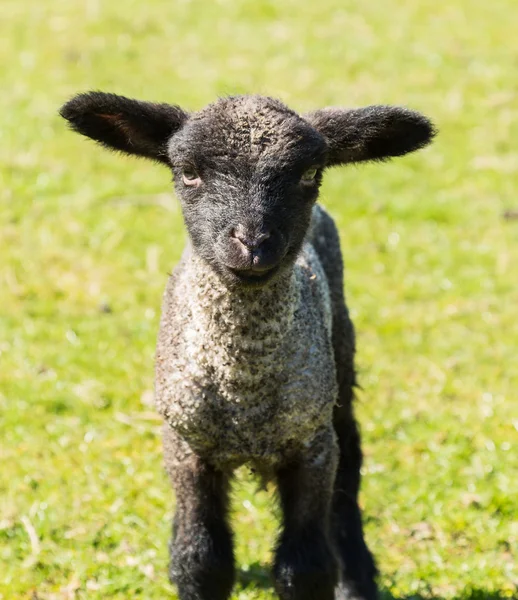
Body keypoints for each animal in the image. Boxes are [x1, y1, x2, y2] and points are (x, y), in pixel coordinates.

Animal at [60, 90, 434, 600]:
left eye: (310, 173)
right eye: (188, 171)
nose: (253, 245)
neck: (244, 391)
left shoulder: (312, 445)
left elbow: (305, 567)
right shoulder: (186, 445)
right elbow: (200, 561)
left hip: (340, 365)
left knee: (351, 468)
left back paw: (357, 581)